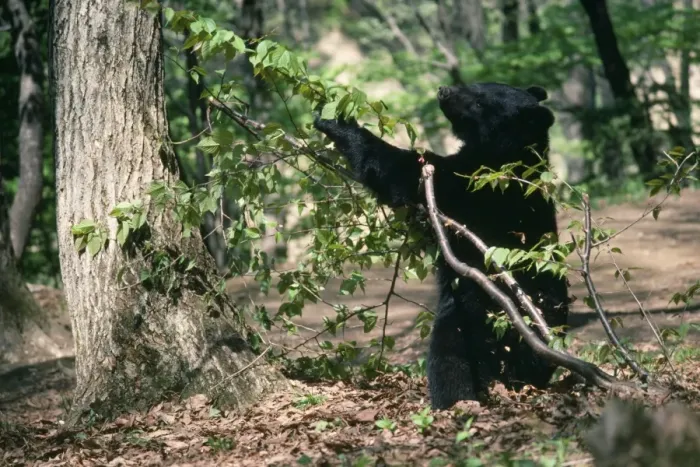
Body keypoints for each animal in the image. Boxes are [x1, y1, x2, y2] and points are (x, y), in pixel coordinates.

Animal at [313, 82, 569, 410]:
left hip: (475, 318)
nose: (445, 91)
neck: (510, 155)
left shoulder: (473, 185)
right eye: (479, 84)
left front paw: (333, 117)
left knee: (450, 360)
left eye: (479, 101)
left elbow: (402, 169)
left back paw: (454, 402)